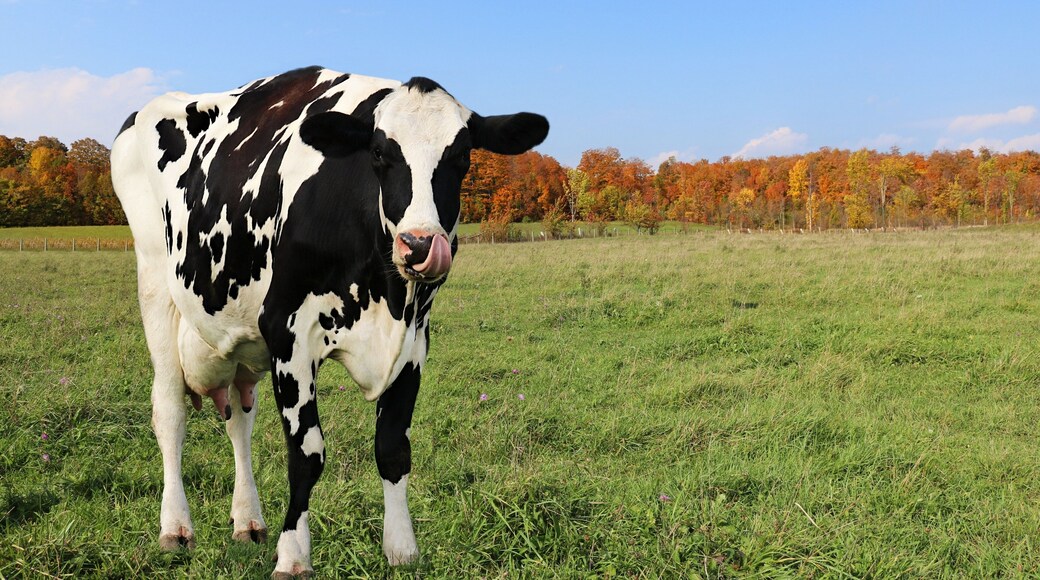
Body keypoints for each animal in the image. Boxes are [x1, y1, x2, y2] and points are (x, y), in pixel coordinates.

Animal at [111, 66, 548, 576]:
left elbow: (393, 448)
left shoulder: (414, 343)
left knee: (240, 422)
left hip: (239, 343)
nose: (420, 245)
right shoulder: (288, 335)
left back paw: (248, 521)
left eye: (461, 156)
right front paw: (293, 554)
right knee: (169, 412)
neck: (387, 295)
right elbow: (307, 455)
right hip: (155, 284)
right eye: (378, 153)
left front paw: (401, 549)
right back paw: (176, 527)